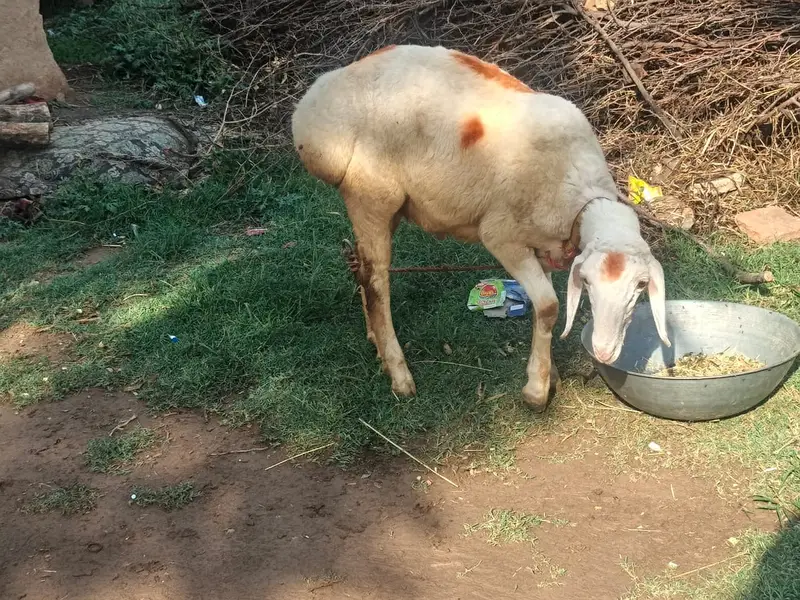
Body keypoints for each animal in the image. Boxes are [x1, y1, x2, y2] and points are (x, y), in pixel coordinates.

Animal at [291, 44, 670, 411]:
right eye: (588, 283)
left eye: (640, 286)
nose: (604, 351)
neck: (580, 194)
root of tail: (312, 106)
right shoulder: (503, 236)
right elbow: (549, 306)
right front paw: (536, 392)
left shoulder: (542, 246)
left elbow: (542, 309)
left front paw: (549, 374)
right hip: (371, 194)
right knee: (376, 280)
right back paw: (398, 374)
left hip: (387, 205)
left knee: (360, 265)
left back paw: (375, 340)